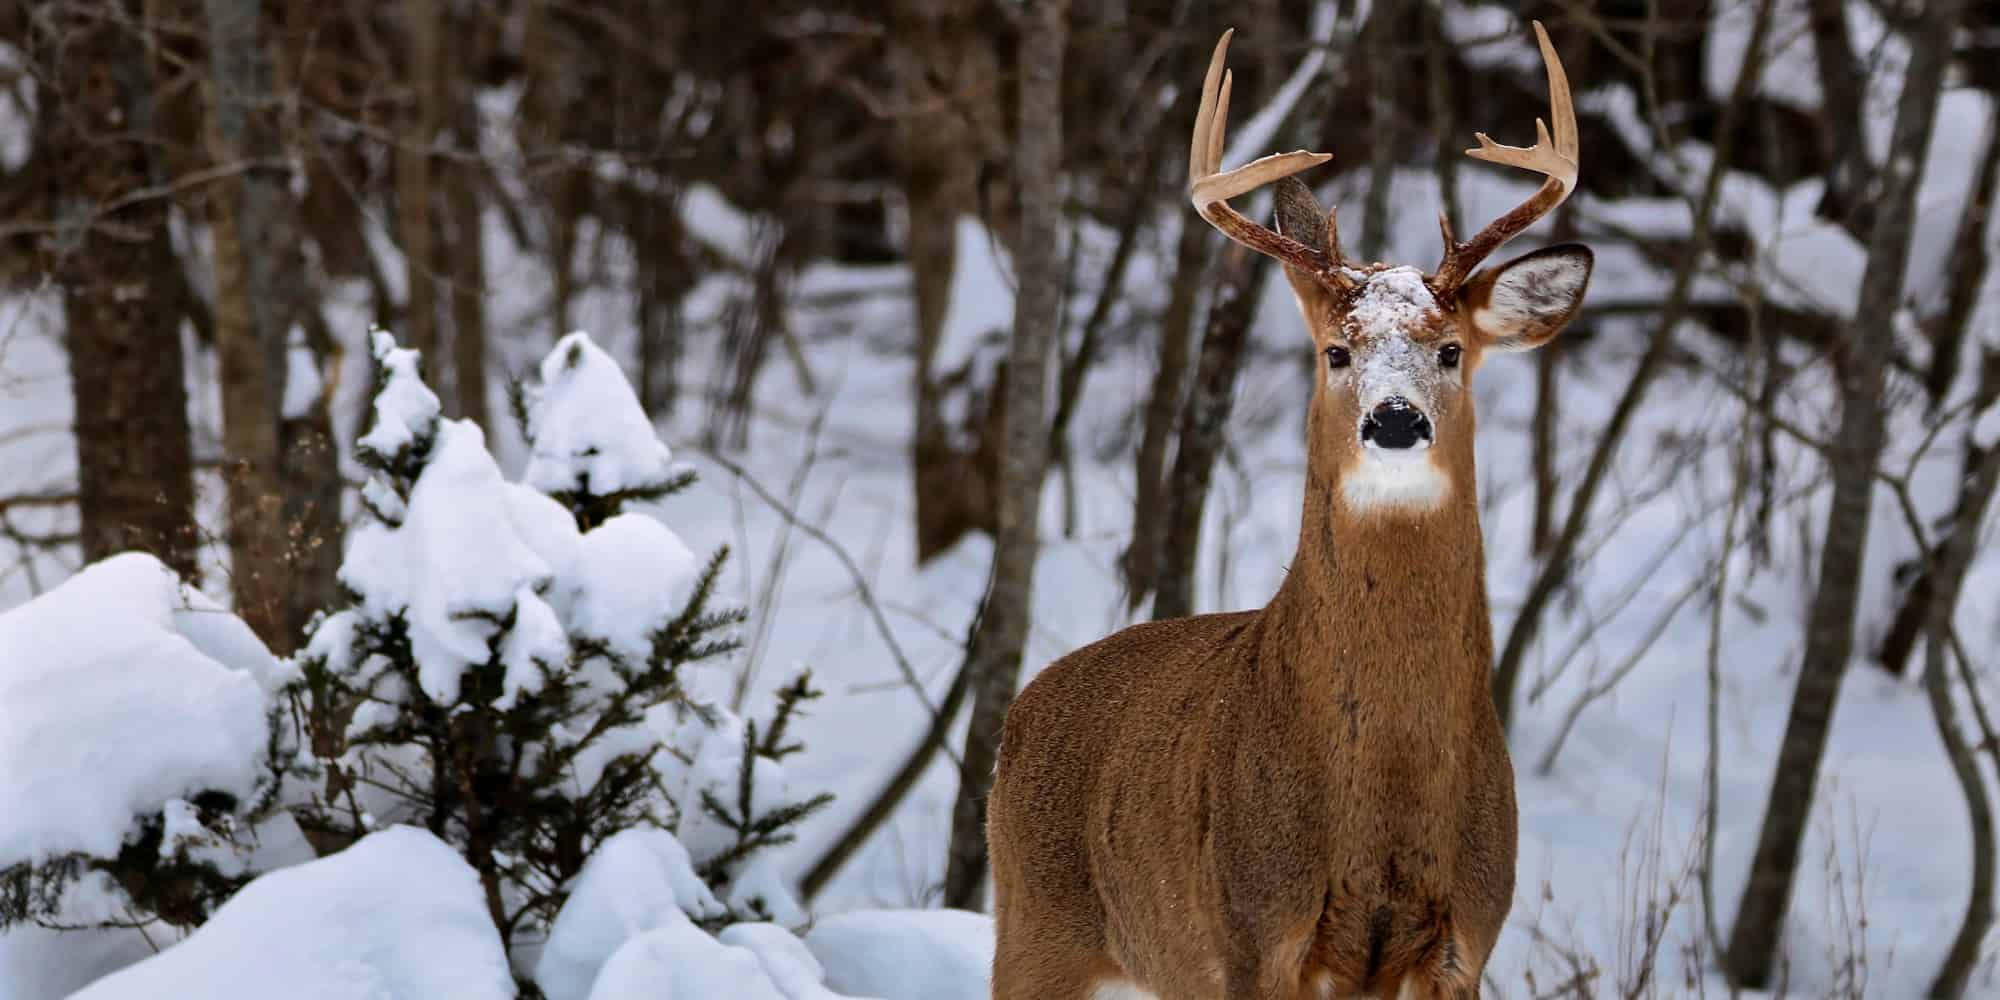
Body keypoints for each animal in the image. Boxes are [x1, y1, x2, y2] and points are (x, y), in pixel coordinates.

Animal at [986, 22, 1591, 1000]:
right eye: (1337, 351)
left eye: (1451, 350)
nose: (1395, 420)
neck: (1385, 793)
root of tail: (1023, 709)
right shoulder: (1252, 928)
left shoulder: (1468, 936)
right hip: (1038, 931)